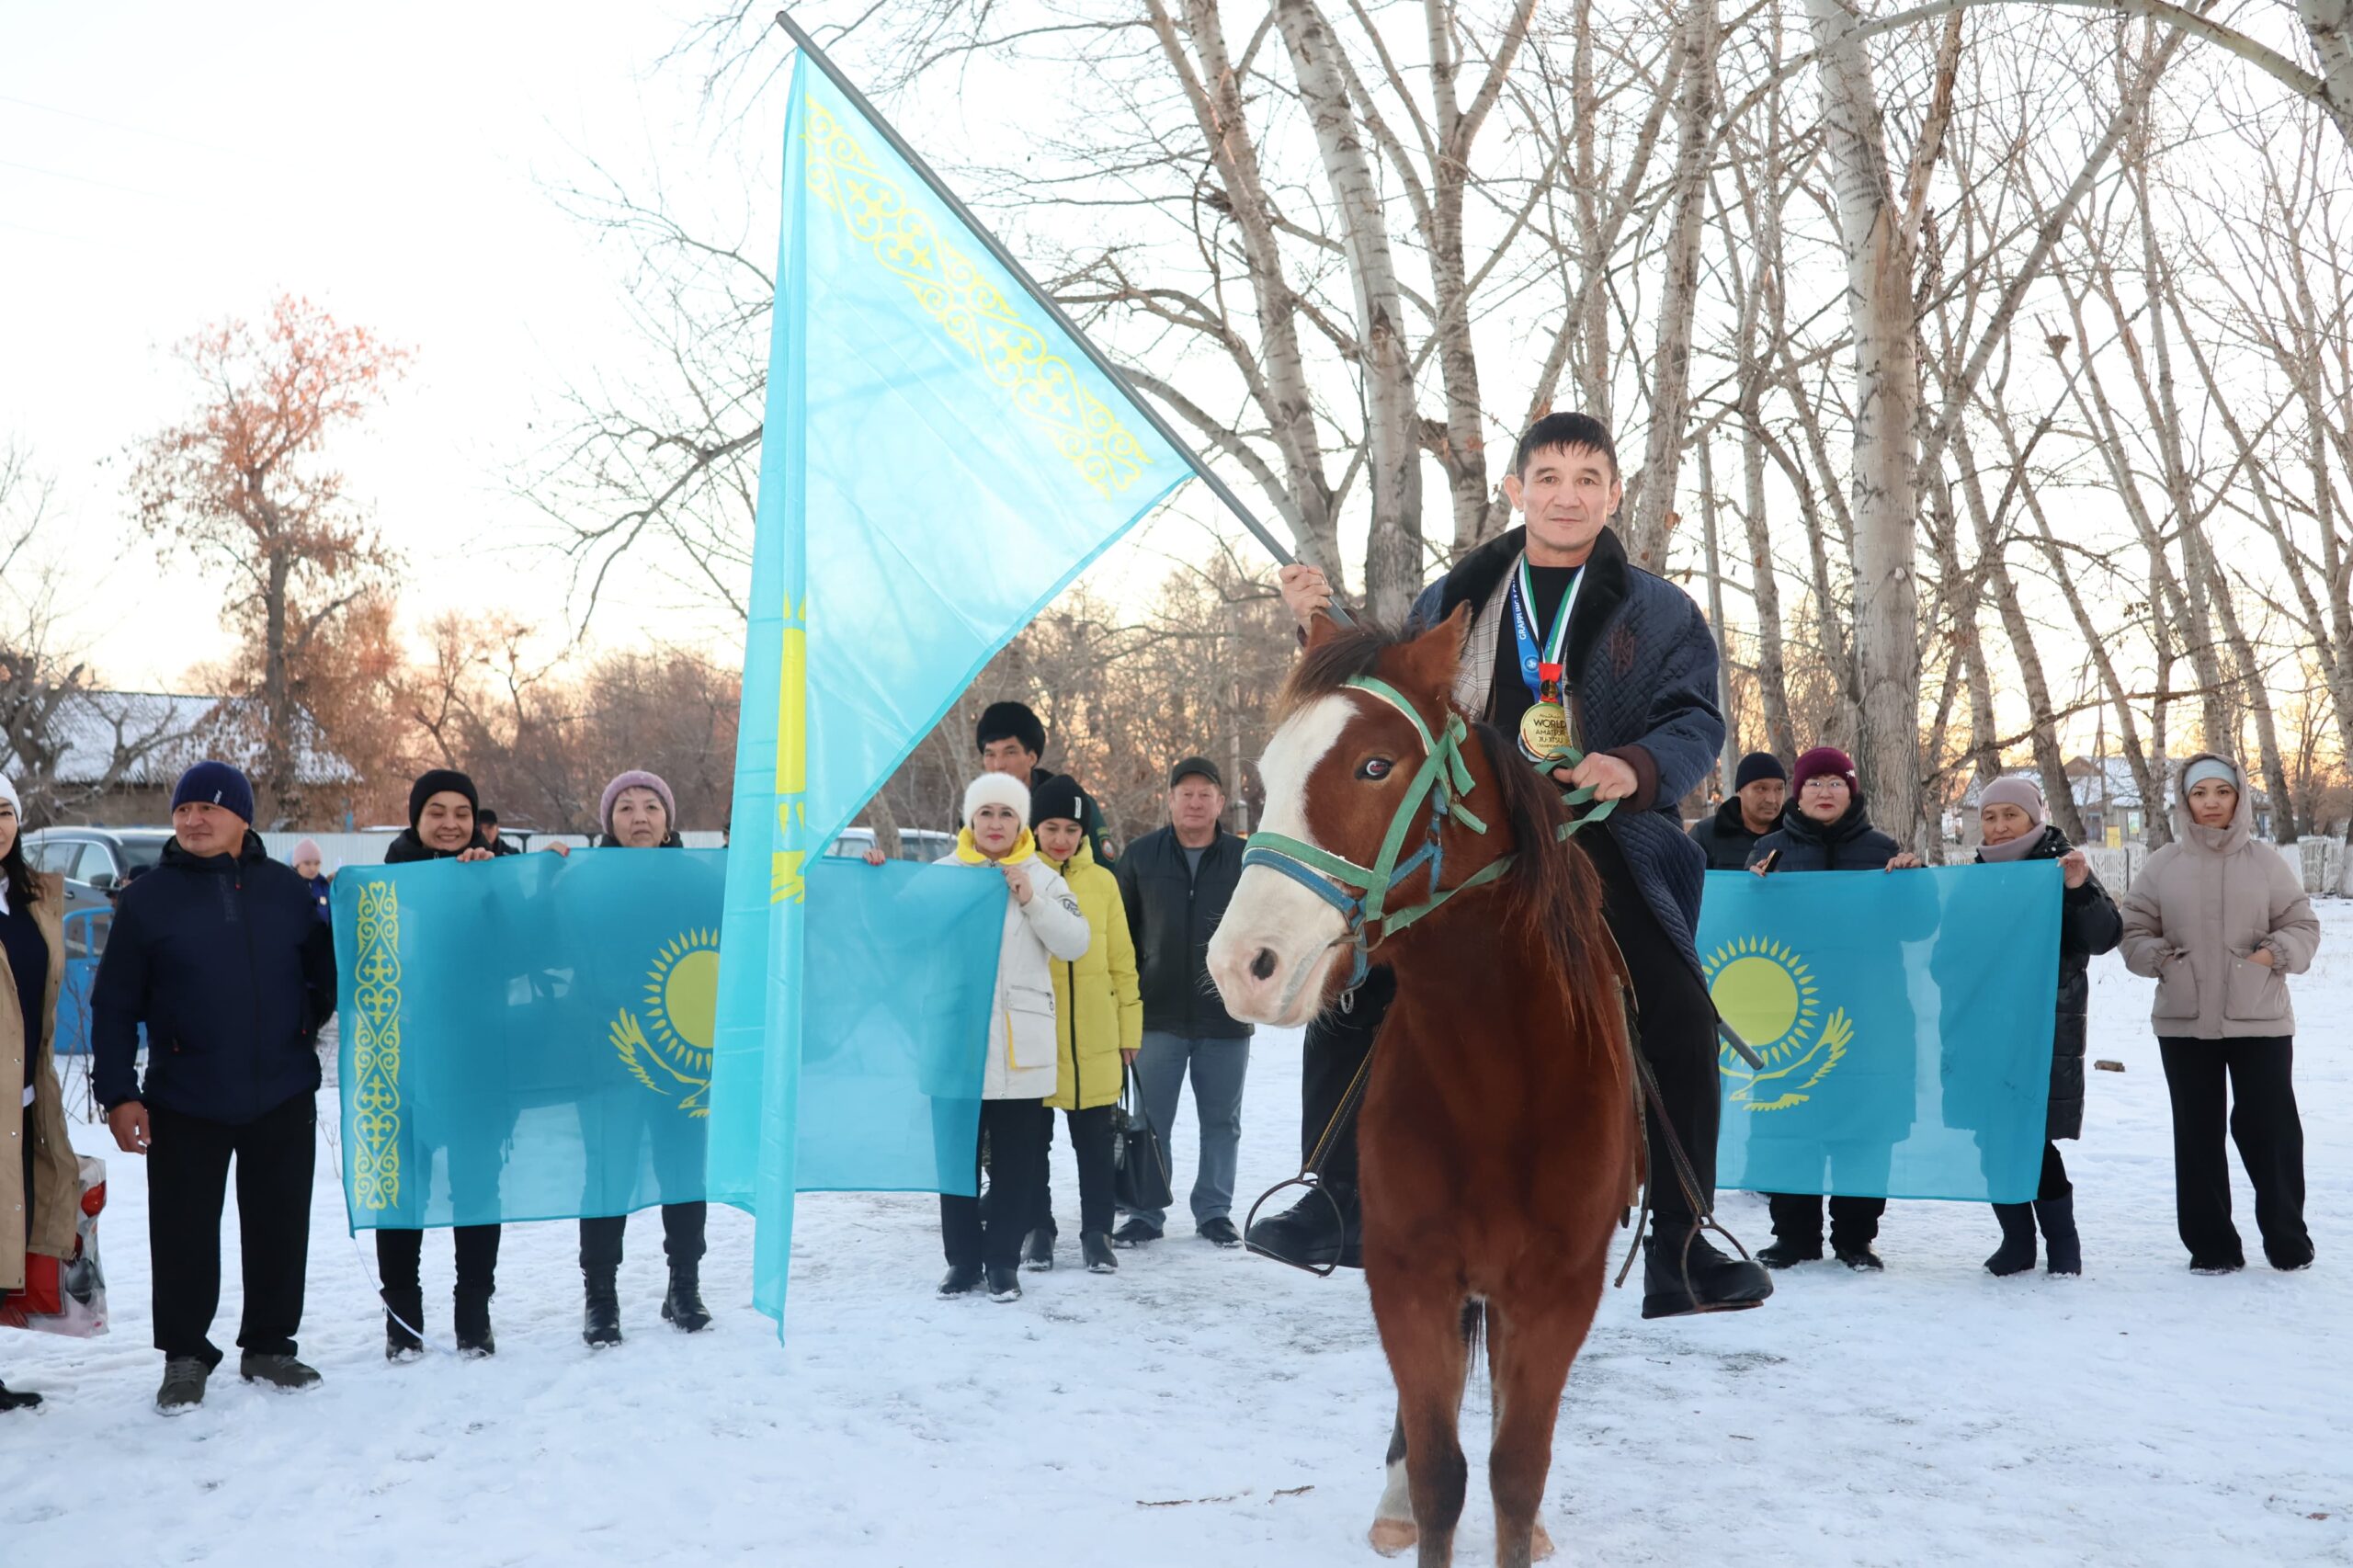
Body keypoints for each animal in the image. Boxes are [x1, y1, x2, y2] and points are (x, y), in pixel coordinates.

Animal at [1213, 607, 1637, 1562]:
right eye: (1266, 775)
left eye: (1375, 765)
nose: (1242, 966)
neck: (1496, 1079)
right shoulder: (1409, 1278)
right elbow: (1445, 1470)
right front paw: (1415, 1496)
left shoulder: (1557, 1291)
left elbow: (1517, 1471)